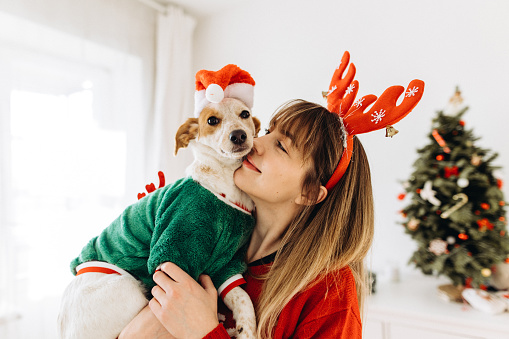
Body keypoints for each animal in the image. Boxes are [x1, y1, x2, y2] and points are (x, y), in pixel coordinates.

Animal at [57, 65, 260, 338]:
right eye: (211, 121)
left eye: (245, 114)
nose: (239, 135)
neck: (226, 187)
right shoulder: (175, 251)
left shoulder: (225, 264)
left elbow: (242, 298)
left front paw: (246, 329)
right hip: (127, 286)